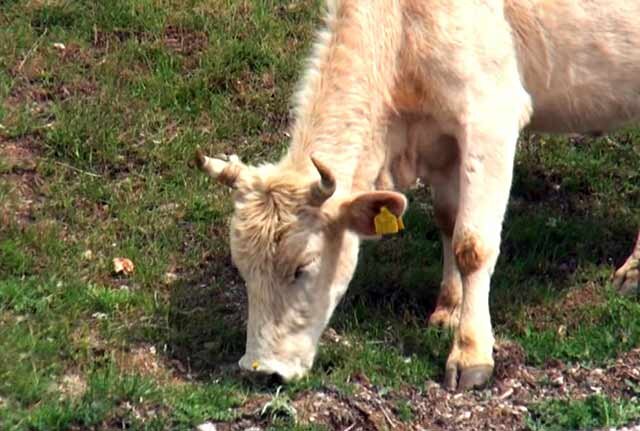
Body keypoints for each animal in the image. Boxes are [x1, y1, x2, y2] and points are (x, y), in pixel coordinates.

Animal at [195, 0, 640, 392]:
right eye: (243, 269)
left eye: (302, 268)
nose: (261, 371)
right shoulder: (440, 139)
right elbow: (449, 221)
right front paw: (449, 310)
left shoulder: (490, 116)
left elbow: (472, 245)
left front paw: (471, 354)